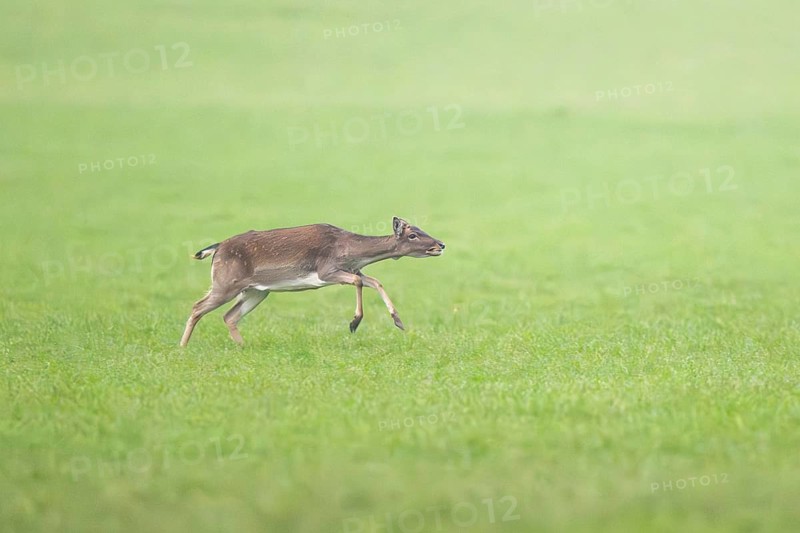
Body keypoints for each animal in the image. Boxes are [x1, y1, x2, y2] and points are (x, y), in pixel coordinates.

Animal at [179, 217, 445, 346]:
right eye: (413, 235)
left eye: (421, 230)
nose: (440, 244)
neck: (350, 251)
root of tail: (216, 248)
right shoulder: (326, 271)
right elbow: (359, 283)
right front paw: (354, 323)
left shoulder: (354, 270)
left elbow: (375, 281)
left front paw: (398, 321)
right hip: (225, 282)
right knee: (197, 306)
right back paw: (182, 347)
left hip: (256, 291)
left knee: (229, 316)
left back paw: (242, 346)